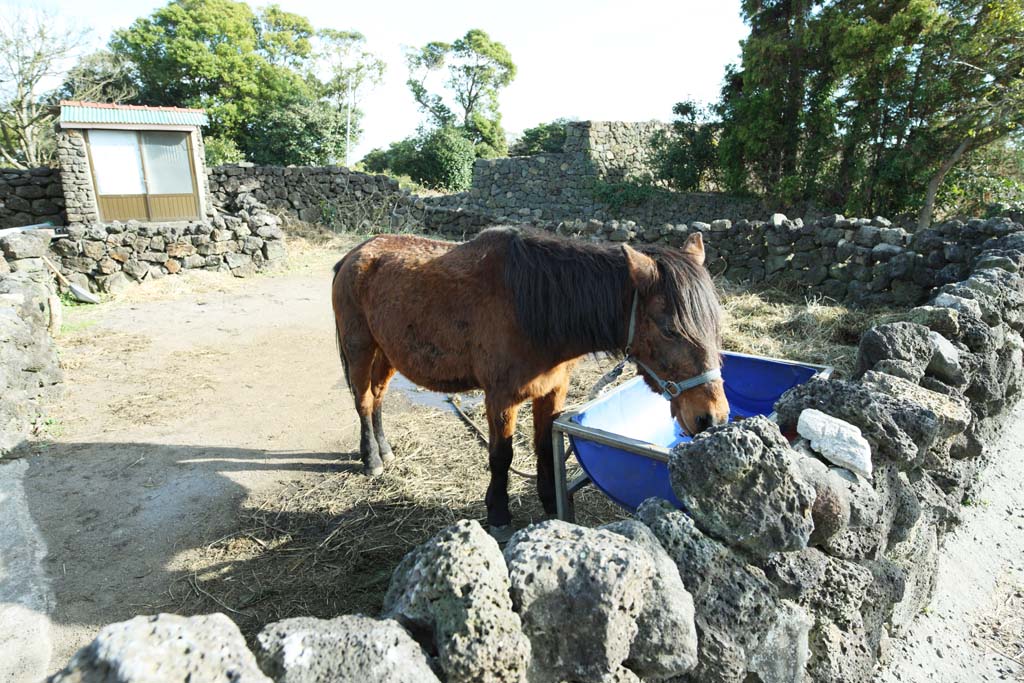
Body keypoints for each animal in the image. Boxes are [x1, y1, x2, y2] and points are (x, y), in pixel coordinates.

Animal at [329, 227, 729, 536]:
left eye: (714, 323)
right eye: (669, 329)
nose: (712, 417)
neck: (532, 309)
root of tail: (353, 255)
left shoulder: (552, 392)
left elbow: (543, 447)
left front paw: (552, 502)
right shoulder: (501, 398)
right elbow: (501, 456)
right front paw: (498, 513)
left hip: (387, 353)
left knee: (378, 398)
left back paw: (385, 450)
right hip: (360, 347)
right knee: (363, 401)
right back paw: (372, 460)